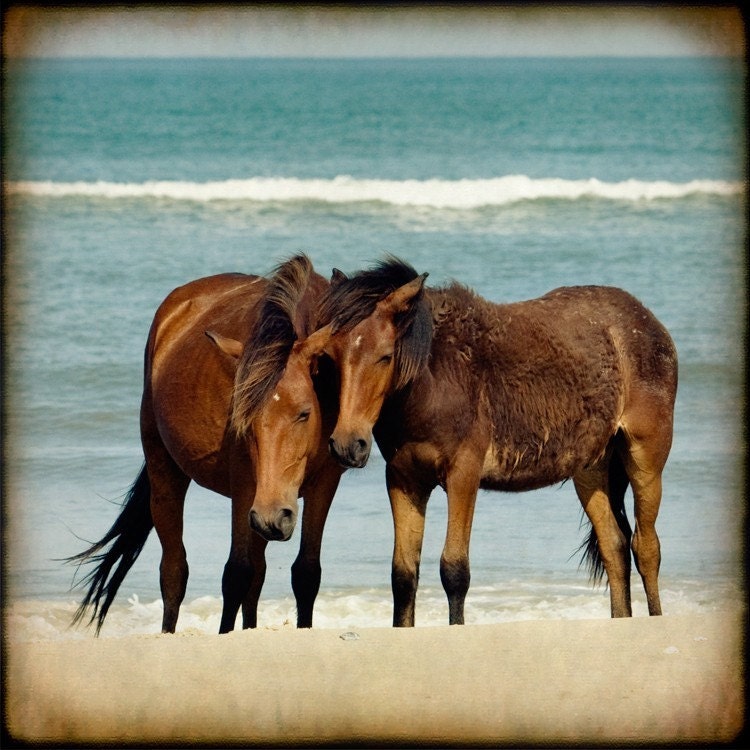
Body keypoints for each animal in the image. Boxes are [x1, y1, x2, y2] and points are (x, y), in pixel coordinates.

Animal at [67, 255, 344, 634]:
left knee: (256, 575)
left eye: (304, 413)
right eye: (244, 419)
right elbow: (236, 573)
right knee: (174, 571)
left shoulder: (323, 484)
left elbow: (305, 573)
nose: (273, 517)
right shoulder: (245, 485)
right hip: (168, 473)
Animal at [319, 258, 678, 626]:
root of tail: (647, 320)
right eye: (330, 356)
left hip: (646, 457)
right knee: (614, 546)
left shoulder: (463, 475)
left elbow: (454, 570)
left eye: (385, 356)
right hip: (591, 470)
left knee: (645, 547)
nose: (348, 444)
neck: (437, 380)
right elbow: (403, 575)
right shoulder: (404, 479)